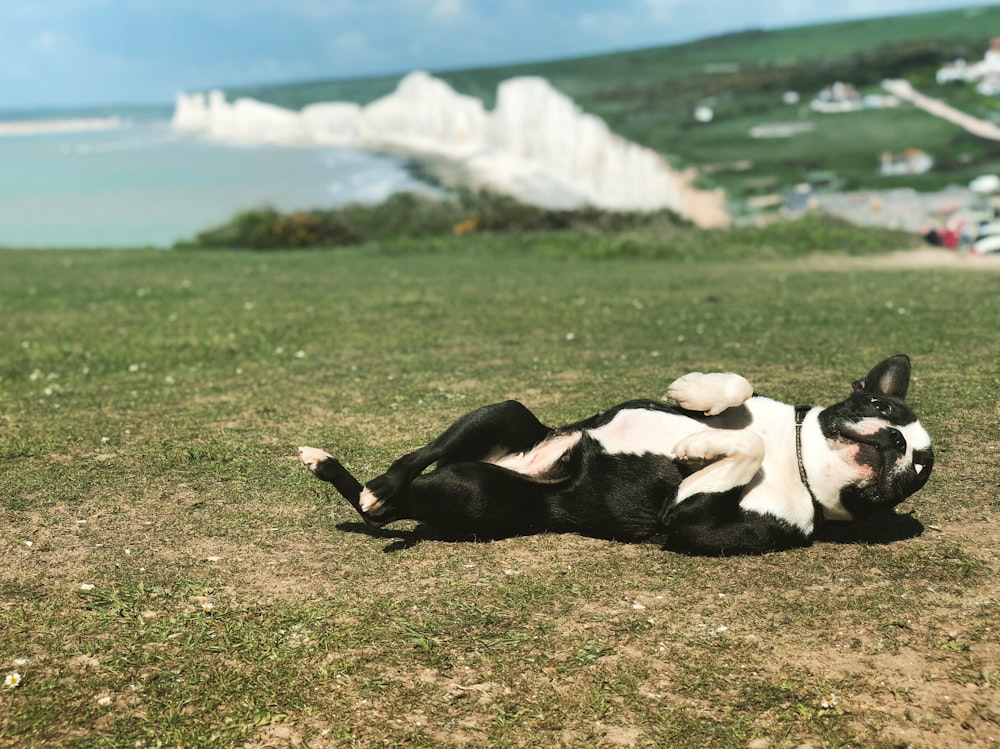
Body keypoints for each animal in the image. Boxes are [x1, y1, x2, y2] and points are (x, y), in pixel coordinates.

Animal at [296, 356, 928, 556]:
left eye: (918, 473)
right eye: (877, 403)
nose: (898, 443)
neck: (794, 457)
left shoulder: (691, 520)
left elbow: (737, 449)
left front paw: (697, 446)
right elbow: (738, 389)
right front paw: (696, 394)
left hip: (474, 494)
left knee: (388, 508)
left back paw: (360, 486)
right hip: (502, 414)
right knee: (417, 458)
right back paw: (374, 477)